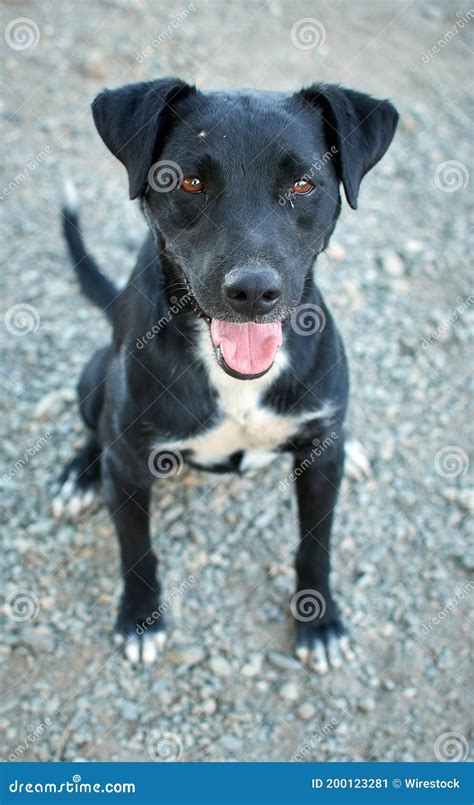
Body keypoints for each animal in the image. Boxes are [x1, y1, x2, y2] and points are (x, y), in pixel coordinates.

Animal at [53, 78, 398, 668]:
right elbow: (137, 550)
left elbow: (316, 545)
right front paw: (140, 619)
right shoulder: (131, 466)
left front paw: (319, 620)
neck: (237, 381)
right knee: (96, 426)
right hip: (92, 376)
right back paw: (80, 474)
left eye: (303, 183)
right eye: (188, 181)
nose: (253, 292)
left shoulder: (319, 468)